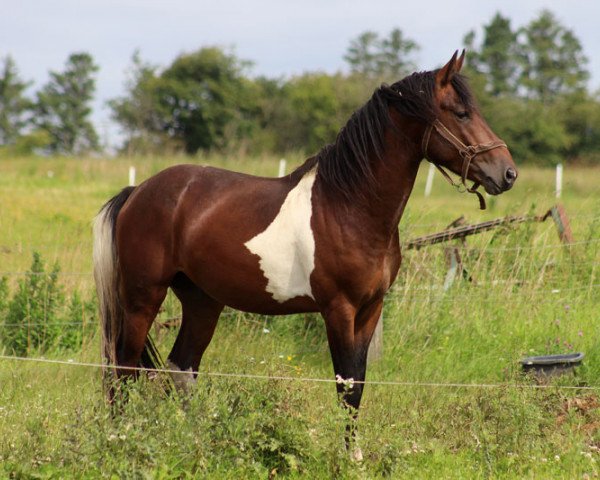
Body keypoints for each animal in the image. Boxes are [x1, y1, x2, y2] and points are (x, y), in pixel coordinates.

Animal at [92, 51, 516, 458]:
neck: (348, 204)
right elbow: (346, 385)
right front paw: (347, 458)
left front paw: (354, 453)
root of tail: (138, 191)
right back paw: (121, 440)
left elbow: (358, 384)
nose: (508, 173)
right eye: (460, 113)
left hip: (202, 302)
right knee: (124, 367)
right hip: (143, 298)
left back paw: (193, 443)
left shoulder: (371, 308)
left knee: (181, 369)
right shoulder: (339, 309)